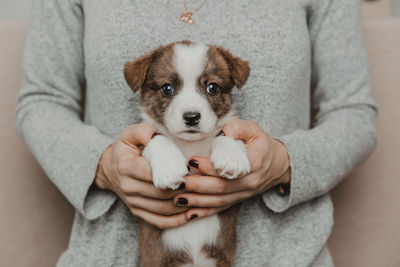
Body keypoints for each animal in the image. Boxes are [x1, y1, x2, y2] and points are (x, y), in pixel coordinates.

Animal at [124, 40, 250, 267]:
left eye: (212, 87)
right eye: (167, 88)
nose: (191, 117)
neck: (190, 144)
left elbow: (223, 134)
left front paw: (231, 157)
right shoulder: (141, 144)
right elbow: (158, 139)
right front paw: (169, 169)